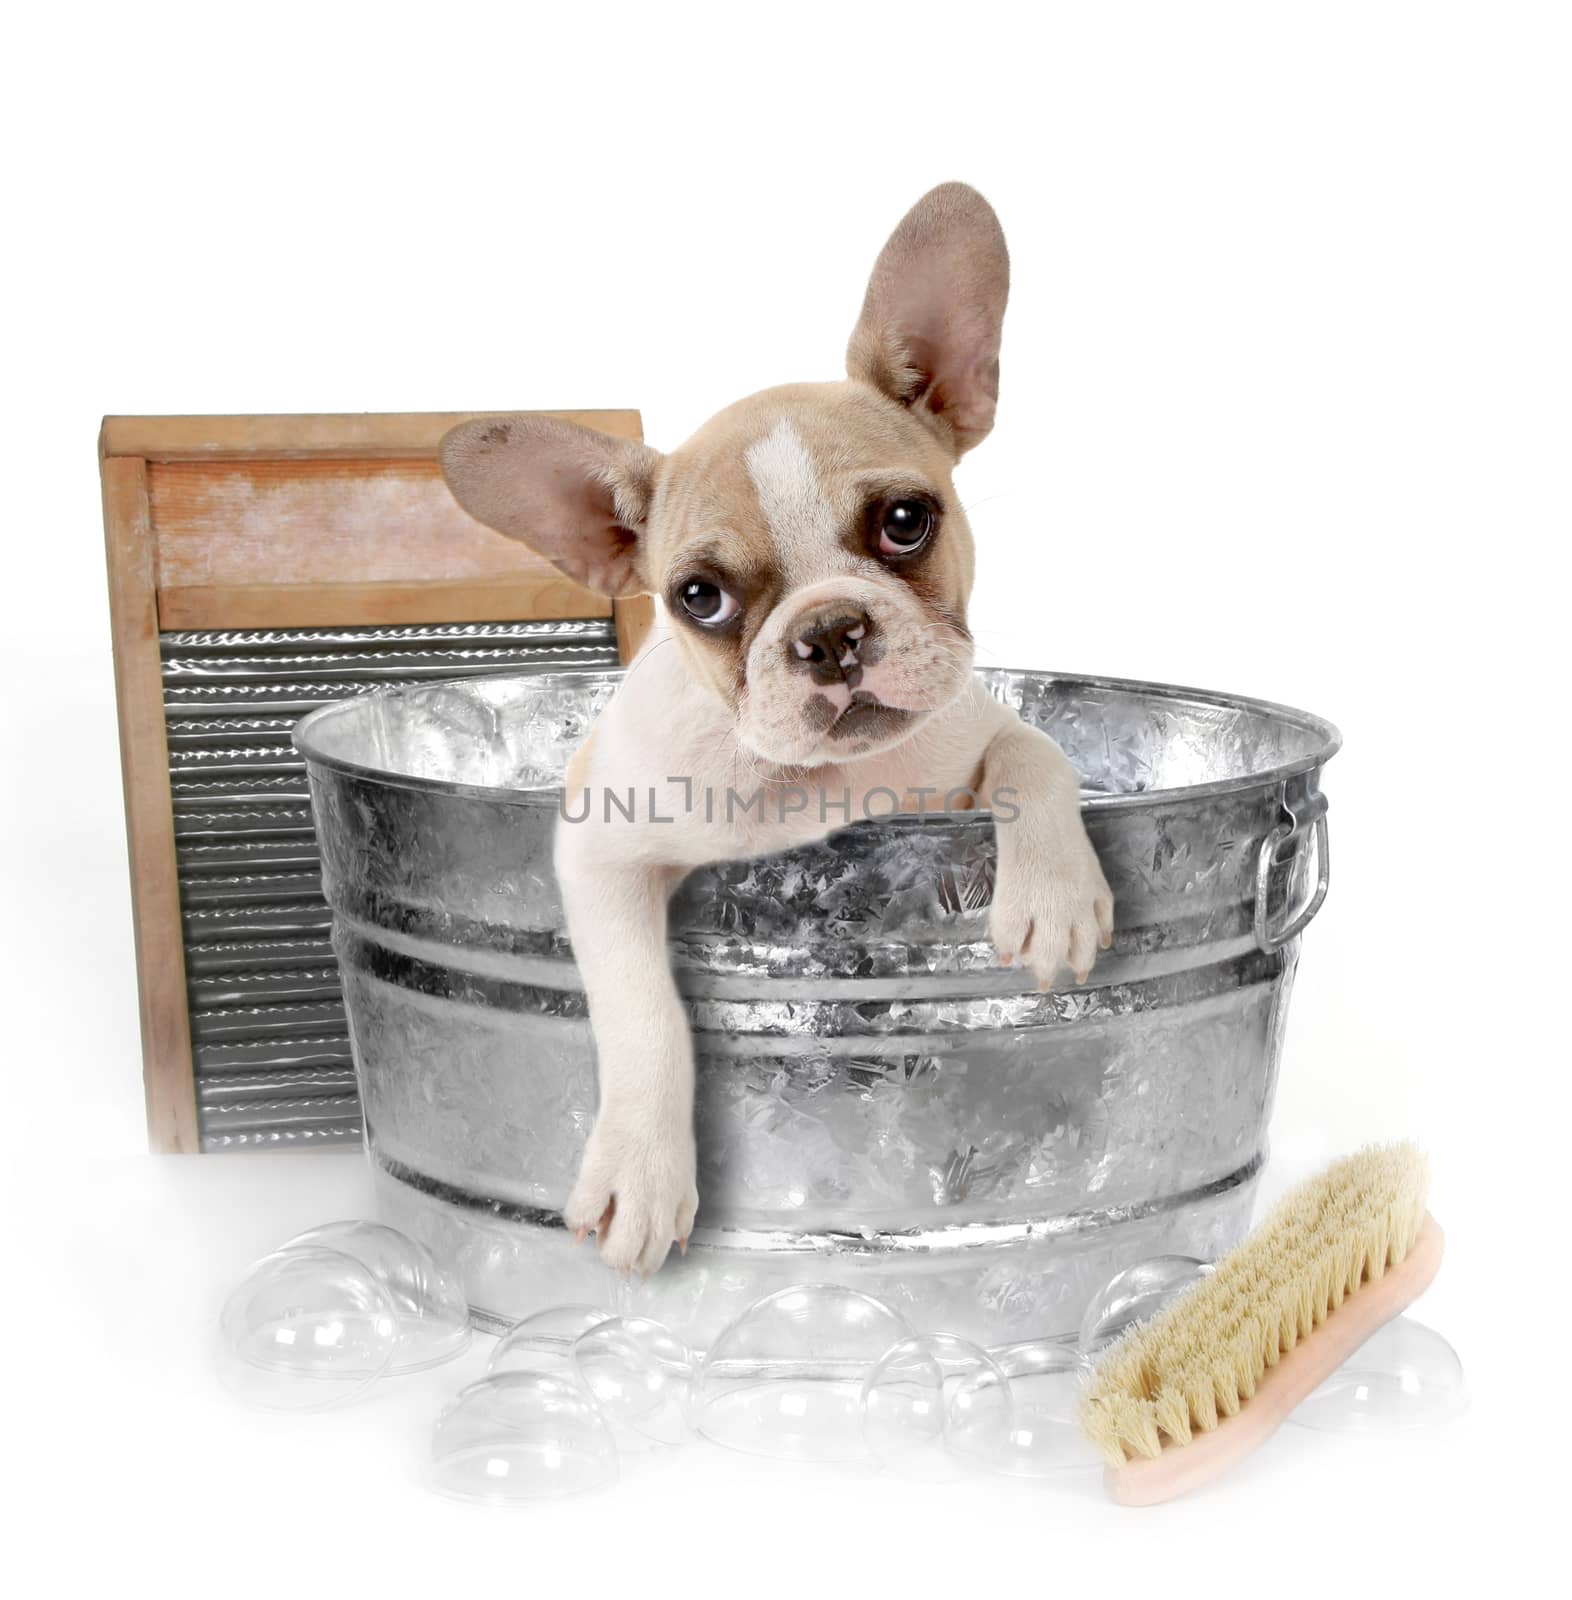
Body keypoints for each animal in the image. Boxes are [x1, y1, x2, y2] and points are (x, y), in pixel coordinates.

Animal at [435, 184, 1114, 1273]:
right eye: (699, 597)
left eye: (907, 521)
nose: (830, 631)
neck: (814, 779)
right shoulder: (603, 852)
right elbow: (643, 1010)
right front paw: (642, 1171)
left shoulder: (966, 729)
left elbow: (1034, 753)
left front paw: (1052, 895)